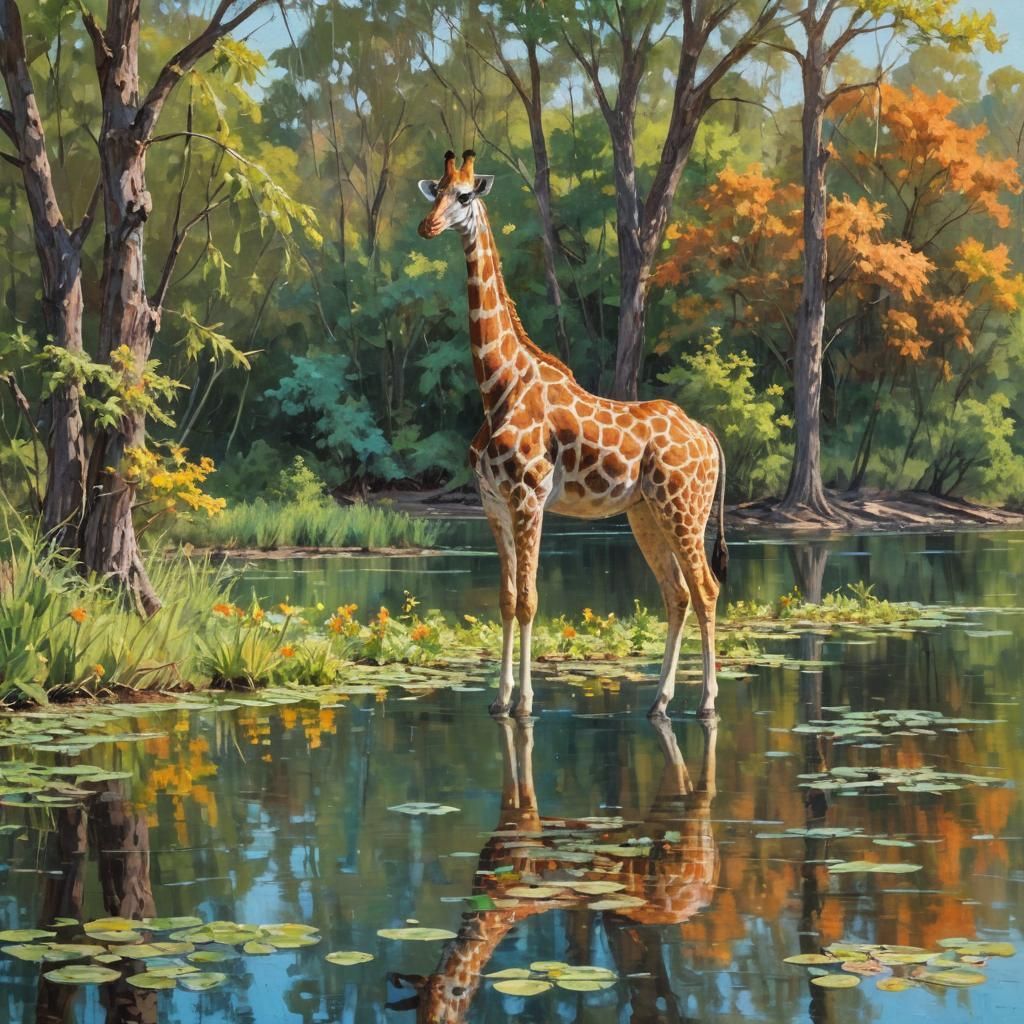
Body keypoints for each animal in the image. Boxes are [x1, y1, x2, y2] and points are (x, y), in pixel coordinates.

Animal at [389, 716, 719, 1023]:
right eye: (420, 1013)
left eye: (446, 1012)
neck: (492, 905)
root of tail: (709, 884)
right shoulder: (508, 817)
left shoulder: (525, 819)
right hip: (668, 812)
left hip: (690, 828)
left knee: (705, 790)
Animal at [417, 150, 728, 720]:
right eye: (436, 193)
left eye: (465, 196)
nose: (428, 227)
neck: (497, 385)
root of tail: (708, 436)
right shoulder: (492, 503)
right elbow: (505, 600)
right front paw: (498, 700)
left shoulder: (528, 498)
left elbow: (529, 601)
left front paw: (524, 701)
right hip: (645, 513)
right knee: (676, 594)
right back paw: (659, 701)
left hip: (685, 510)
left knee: (707, 589)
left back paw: (707, 703)